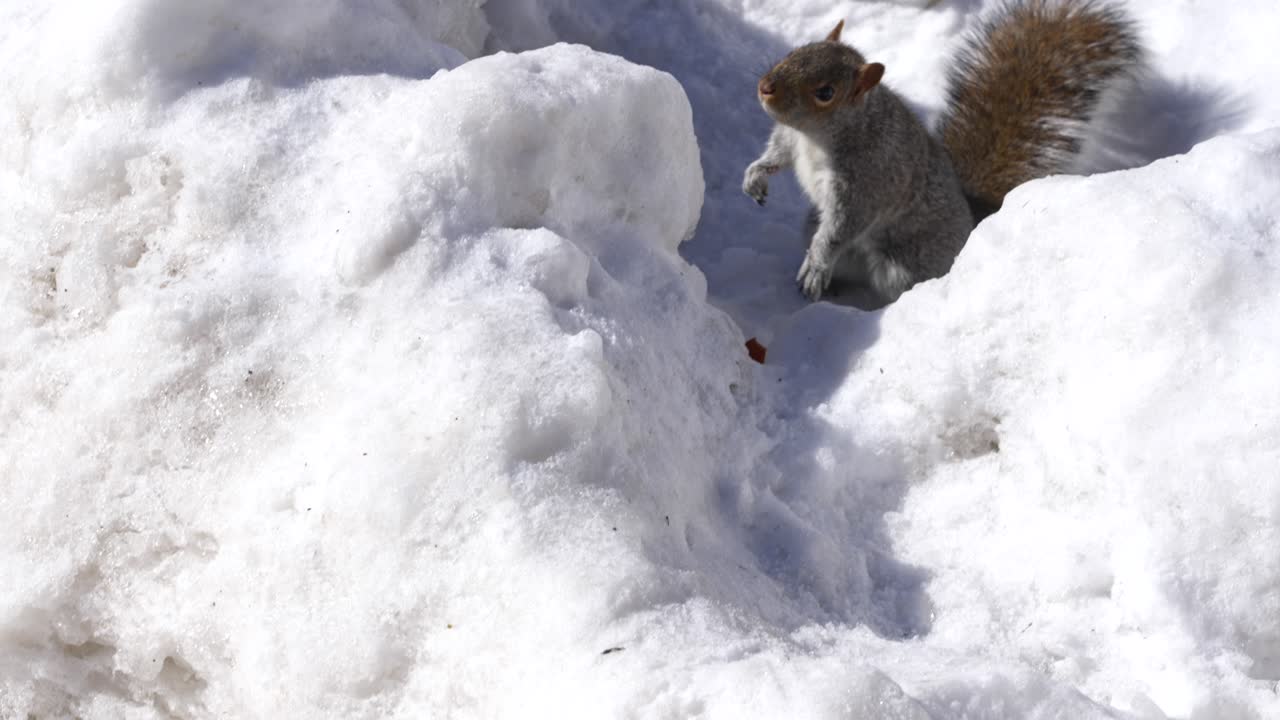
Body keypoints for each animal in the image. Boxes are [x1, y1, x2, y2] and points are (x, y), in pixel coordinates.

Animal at [743, 0, 1142, 308]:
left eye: (826, 92)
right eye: (796, 51)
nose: (765, 87)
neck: (815, 137)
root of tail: (972, 222)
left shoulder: (867, 179)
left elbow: (841, 227)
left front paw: (816, 264)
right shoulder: (790, 140)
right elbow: (776, 155)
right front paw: (755, 176)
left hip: (903, 264)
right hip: (815, 226)